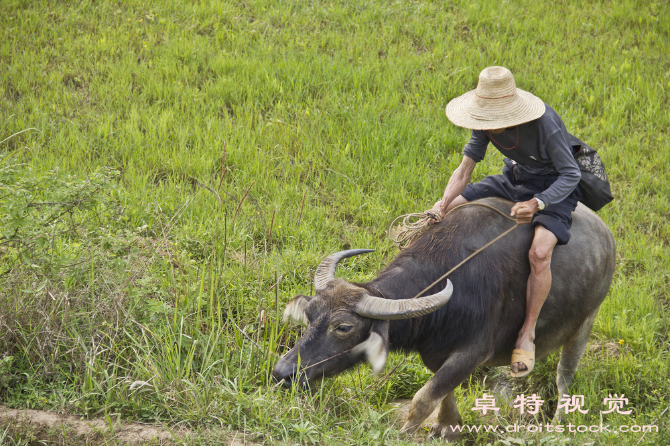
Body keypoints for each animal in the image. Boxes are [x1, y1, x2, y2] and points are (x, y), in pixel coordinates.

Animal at [272, 198, 616, 440]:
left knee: (565, 375)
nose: (282, 372)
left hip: (586, 322)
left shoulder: (474, 352)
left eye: (343, 327)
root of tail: (607, 237)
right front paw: (449, 427)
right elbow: (443, 391)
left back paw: (558, 424)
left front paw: (404, 434)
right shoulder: (436, 353)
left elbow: (424, 397)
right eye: (310, 314)